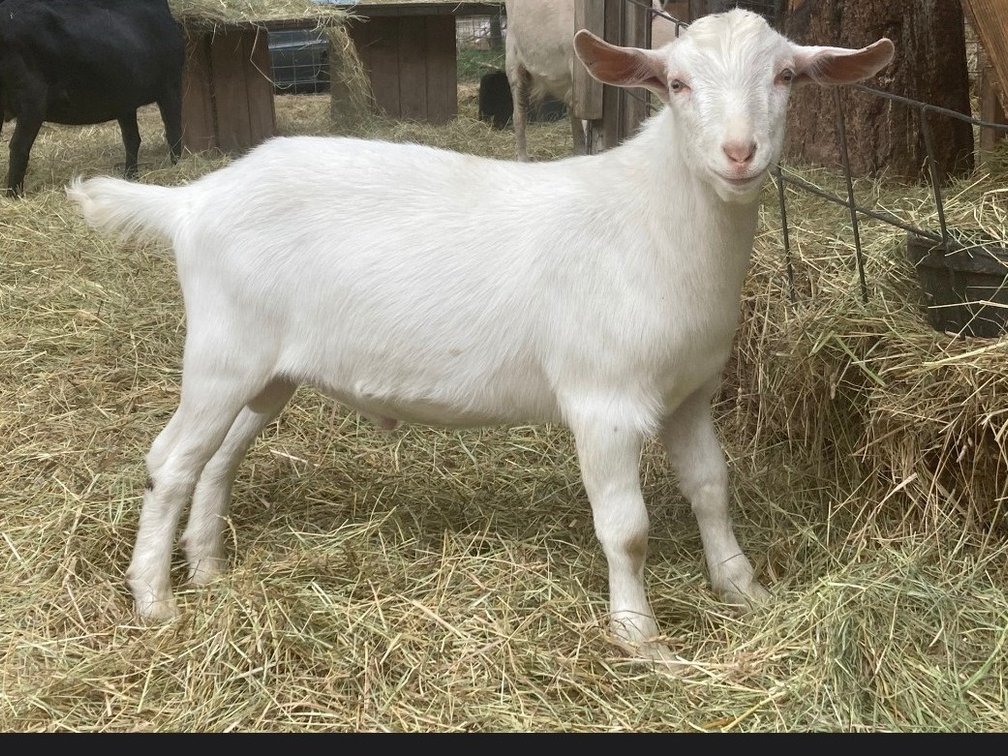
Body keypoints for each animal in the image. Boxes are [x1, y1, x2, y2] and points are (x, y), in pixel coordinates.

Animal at [0, 0, 184, 196]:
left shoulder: (125, 101)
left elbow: (132, 139)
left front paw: (130, 177)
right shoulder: (171, 86)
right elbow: (173, 132)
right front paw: (177, 166)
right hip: (32, 100)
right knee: (19, 147)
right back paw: (14, 195)